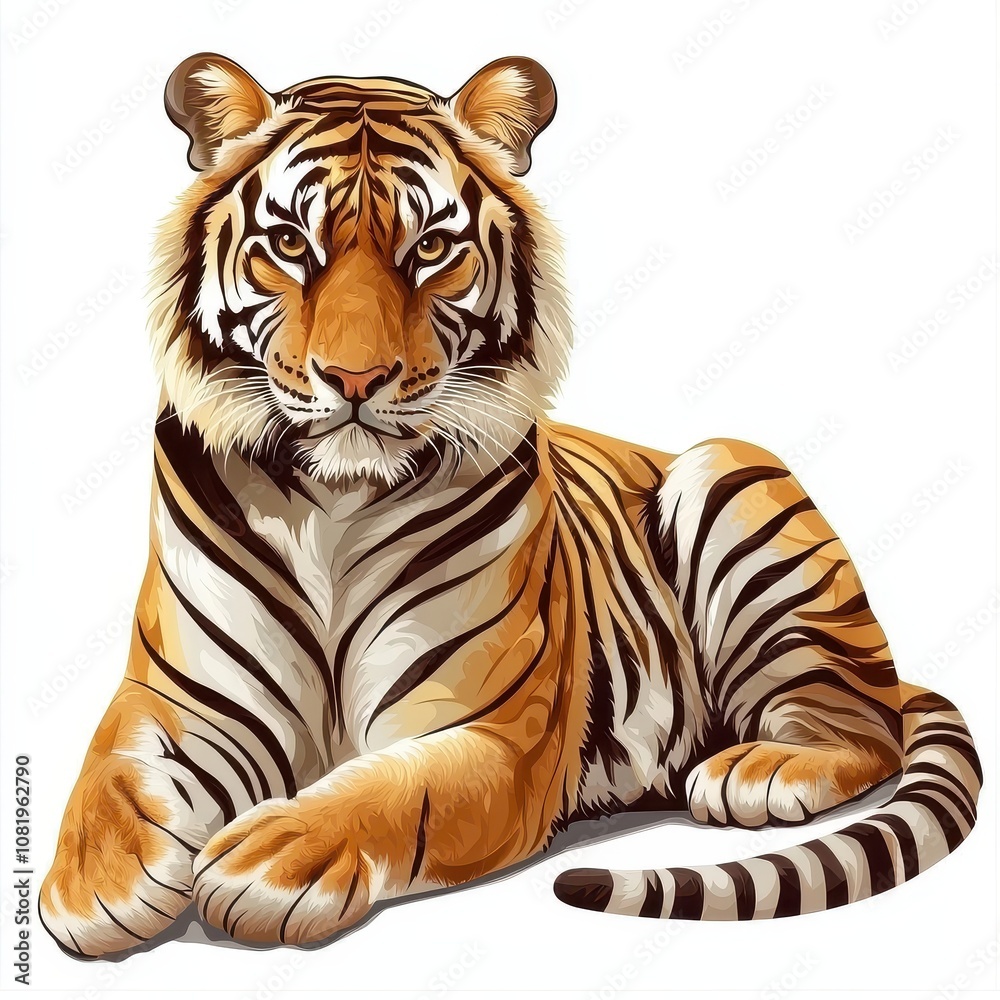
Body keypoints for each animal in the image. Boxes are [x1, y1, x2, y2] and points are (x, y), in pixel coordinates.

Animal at [39, 53, 982, 956]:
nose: (354, 378)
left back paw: (762, 769)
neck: (334, 502)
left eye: (429, 247)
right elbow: (109, 770)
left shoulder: (495, 730)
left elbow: (390, 791)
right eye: (288, 242)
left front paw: (273, 855)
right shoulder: (178, 699)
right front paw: (93, 882)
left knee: (865, 729)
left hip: (728, 473)